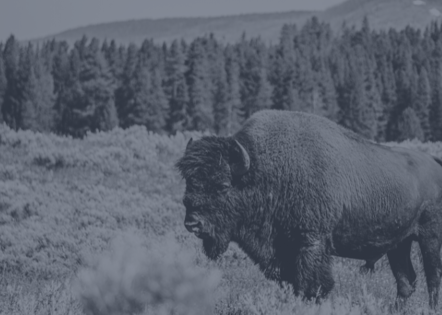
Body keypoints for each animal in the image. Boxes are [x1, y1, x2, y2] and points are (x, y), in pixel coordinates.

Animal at [174, 110, 442, 310]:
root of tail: (435, 162)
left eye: (222, 185)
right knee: (406, 281)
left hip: (430, 238)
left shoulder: (311, 243)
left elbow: (313, 286)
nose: (192, 223)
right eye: (190, 181)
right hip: (399, 244)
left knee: (433, 278)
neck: (263, 171)